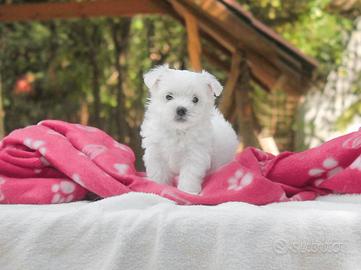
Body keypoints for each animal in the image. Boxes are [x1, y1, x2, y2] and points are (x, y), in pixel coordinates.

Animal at [141, 64, 239, 193]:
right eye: (168, 97)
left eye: (195, 99)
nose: (181, 109)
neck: (178, 131)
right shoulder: (155, 153)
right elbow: (159, 173)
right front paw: (158, 186)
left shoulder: (195, 155)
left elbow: (189, 175)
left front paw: (187, 191)